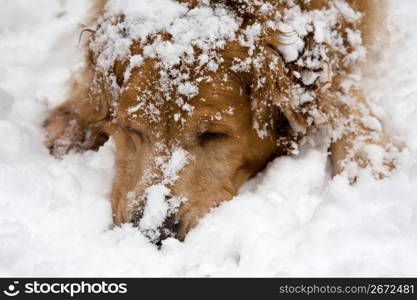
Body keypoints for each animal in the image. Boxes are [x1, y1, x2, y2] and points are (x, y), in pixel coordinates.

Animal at [44, 0, 394, 241]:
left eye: (214, 135)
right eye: (132, 130)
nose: (153, 233)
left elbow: (339, 90)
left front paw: (366, 161)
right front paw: (77, 119)